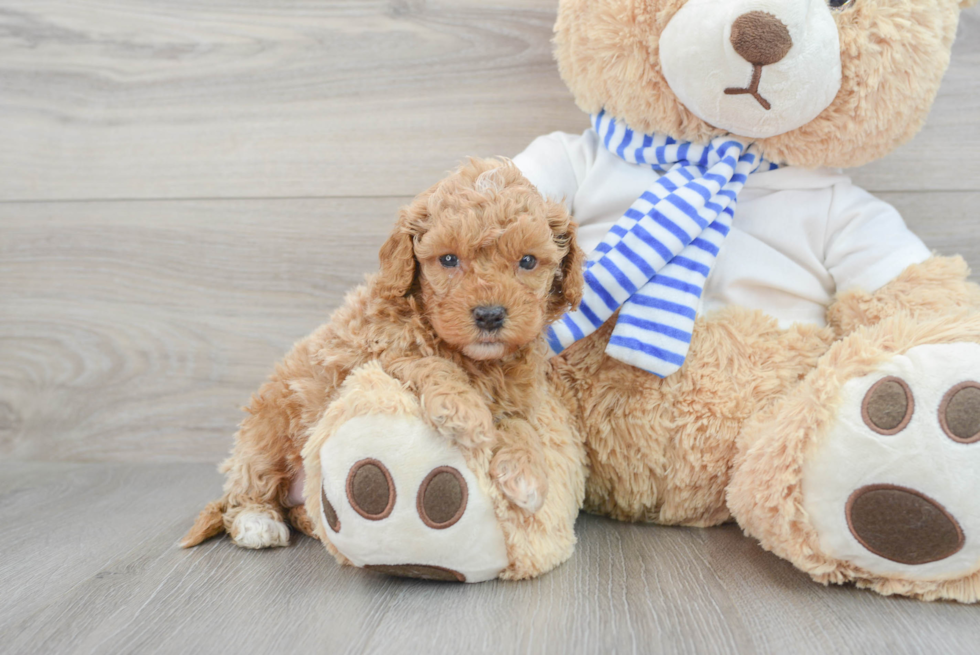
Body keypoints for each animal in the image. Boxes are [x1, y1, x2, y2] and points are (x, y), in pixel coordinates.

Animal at [180, 160, 580, 552]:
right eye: (449, 259)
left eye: (527, 261)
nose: (490, 315)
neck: (476, 360)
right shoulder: (368, 352)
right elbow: (426, 362)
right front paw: (463, 410)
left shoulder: (515, 395)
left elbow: (520, 425)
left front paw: (527, 477)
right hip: (268, 430)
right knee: (247, 488)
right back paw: (258, 523)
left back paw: (311, 521)